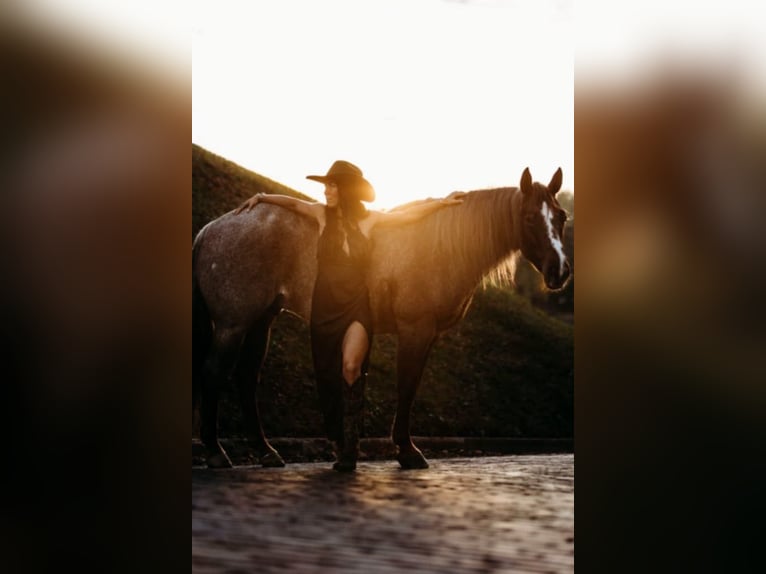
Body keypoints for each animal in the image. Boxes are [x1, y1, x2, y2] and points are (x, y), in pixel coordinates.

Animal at [195, 168, 572, 472]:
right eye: (528, 217)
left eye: (561, 216)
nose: (560, 271)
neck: (439, 247)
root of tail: (210, 229)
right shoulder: (415, 328)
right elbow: (407, 385)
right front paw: (407, 451)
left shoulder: (428, 334)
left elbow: (409, 384)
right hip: (233, 324)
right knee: (214, 372)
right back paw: (216, 453)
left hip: (262, 319)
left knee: (246, 377)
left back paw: (266, 452)